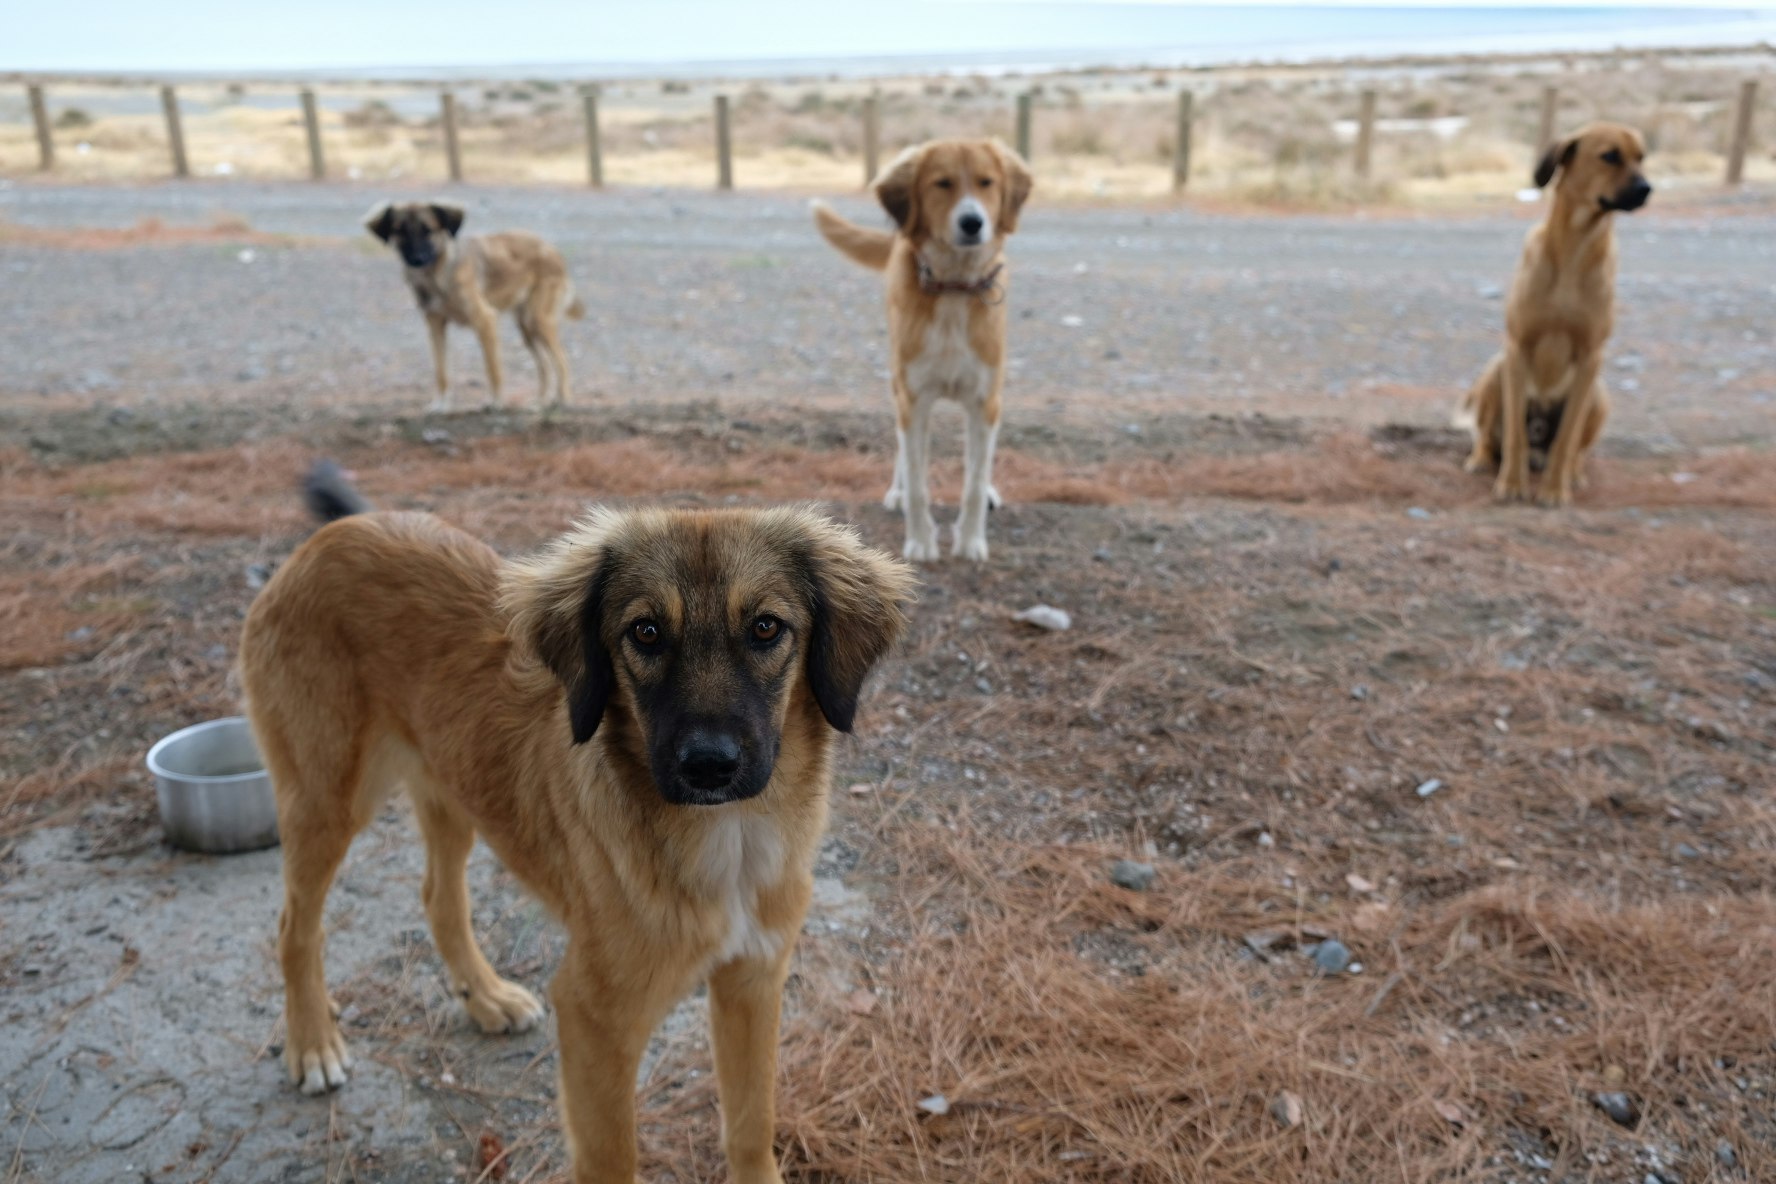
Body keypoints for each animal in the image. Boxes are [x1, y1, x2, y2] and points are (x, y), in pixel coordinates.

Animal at [364, 198, 586, 411]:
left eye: (428, 230)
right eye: (399, 231)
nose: (416, 260)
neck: (438, 275)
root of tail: (551, 249)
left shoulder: (485, 319)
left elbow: (492, 367)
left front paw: (496, 402)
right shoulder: (435, 325)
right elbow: (440, 370)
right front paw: (441, 404)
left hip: (538, 320)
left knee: (562, 360)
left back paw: (563, 400)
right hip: (527, 328)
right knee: (544, 364)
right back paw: (541, 402)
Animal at [813, 136, 1037, 564]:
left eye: (986, 182)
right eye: (942, 183)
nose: (972, 223)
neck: (953, 287)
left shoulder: (985, 401)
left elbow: (973, 481)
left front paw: (970, 542)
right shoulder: (914, 399)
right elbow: (918, 483)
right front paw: (919, 542)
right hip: (899, 387)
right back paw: (897, 492)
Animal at [1456, 122, 1648, 507]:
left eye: (1642, 157)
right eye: (1610, 156)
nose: (1646, 189)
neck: (1574, 248)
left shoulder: (1591, 357)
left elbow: (1567, 439)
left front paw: (1554, 490)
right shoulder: (1517, 348)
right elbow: (1514, 434)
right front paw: (1511, 484)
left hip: (1598, 394)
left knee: (1576, 448)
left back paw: (1572, 473)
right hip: (1496, 371)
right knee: (1490, 436)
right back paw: (1481, 459)